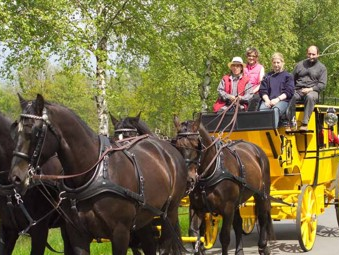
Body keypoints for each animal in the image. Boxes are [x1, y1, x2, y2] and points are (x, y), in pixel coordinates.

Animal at [9, 94, 189, 255]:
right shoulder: (77, 234)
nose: (16, 177)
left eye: (35, 131)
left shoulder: (120, 233)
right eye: (15, 131)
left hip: (169, 213)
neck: (93, 175)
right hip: (145, 216)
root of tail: (167, 148)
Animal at [174, 114, 274, 254]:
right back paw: (240, 251)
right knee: (238, 224)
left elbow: (225, 237)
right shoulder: (197, 208)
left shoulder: (227, 208)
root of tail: (257, 150)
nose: (189, 179)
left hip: (262, 194)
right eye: (177, 145)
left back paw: (263, 246)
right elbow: (194, 234)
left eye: (196, 144)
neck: (213, 170)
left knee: (263, 217)